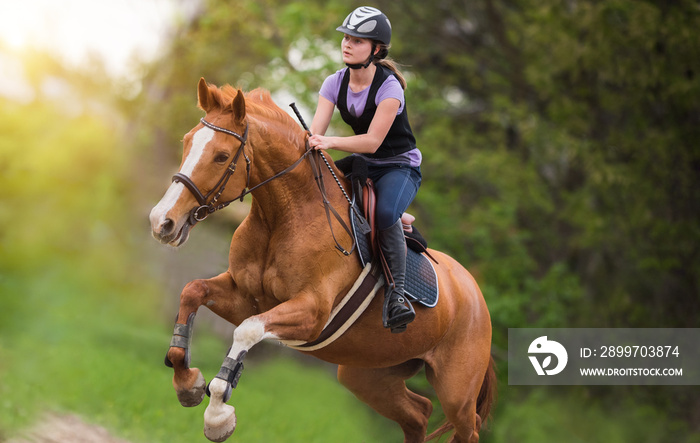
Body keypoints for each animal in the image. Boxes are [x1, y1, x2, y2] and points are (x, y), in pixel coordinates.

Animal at [150, 78, 494, 442]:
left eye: (221, 156)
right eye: (187, 142)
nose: (162, 222)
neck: (284, 216)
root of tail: (476, 293)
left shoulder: (311, 313)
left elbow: (246, 332)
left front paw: (217, 415)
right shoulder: (247, 298)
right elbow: (192, 291)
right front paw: (187, 383)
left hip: (456, 392)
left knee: (467, 428)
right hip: (368, 374)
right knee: (418, 413)